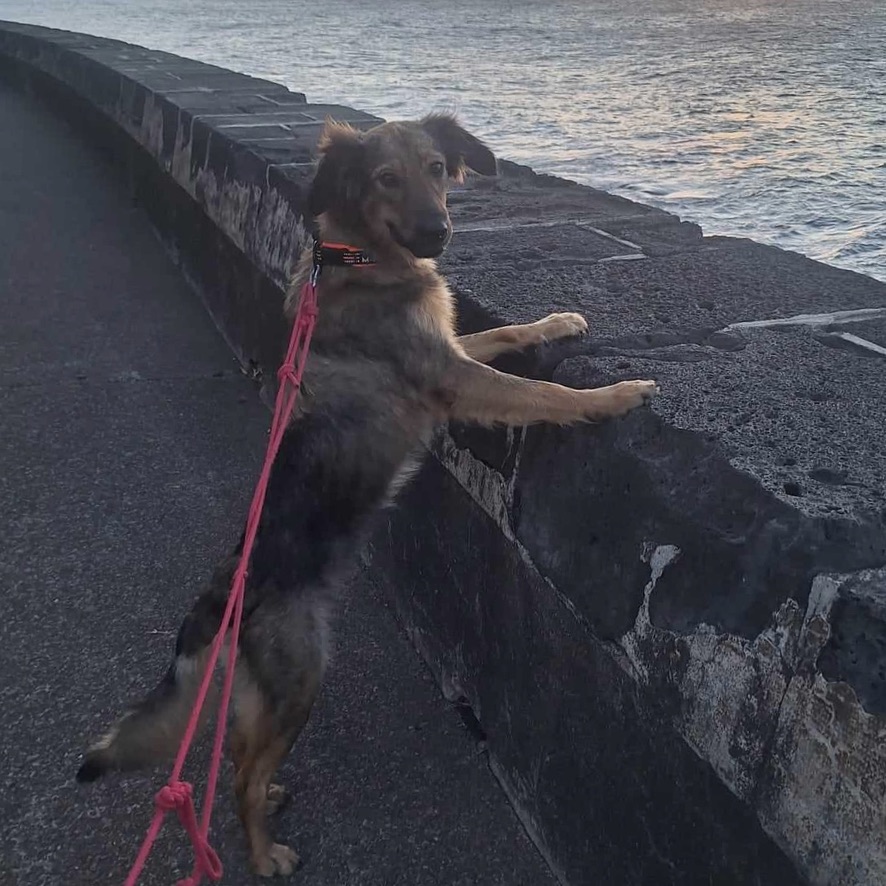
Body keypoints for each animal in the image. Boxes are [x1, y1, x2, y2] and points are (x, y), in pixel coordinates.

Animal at [76, 114, 660, 876]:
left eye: (438, 168)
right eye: (386, 178)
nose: (438, 232)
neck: (358, 257)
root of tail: (214, 611)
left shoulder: (450, 352)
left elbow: (504, 332)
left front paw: (557, 323)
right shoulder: (451, 377)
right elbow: (542, 394)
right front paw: (615, 396)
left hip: (261, 696)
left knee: (239, 756)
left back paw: (272, 802)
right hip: (302, 677)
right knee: (240, 777)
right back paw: (267, 854)